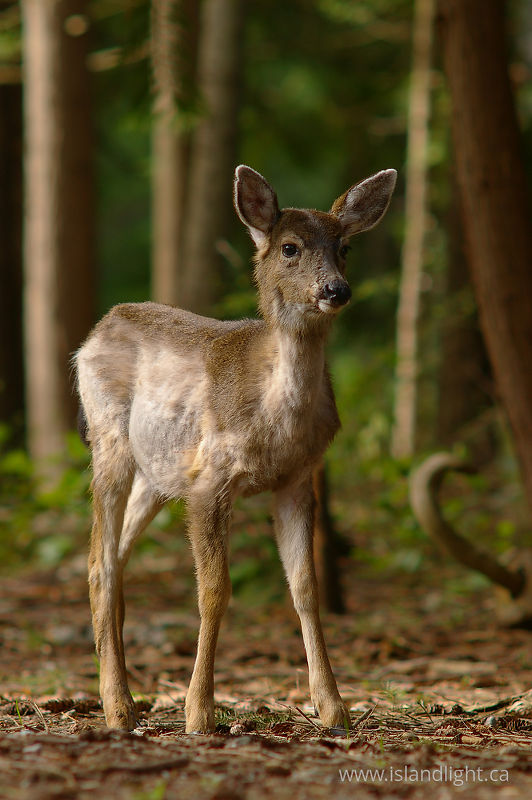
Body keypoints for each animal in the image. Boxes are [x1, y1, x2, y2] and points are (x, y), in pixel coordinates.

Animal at [75, 164, 396, 734]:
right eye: (290, 247)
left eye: (344, 247)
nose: (335, 289)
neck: (275, 419)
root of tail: (97, 330)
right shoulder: (210, 481)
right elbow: (214, 592)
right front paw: (199, 713)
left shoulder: (298, 479)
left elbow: (305, 588)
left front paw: (334, 708)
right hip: (108, 440)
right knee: (98, 562)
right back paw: (117, 707)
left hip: (158, 474)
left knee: (117, 558)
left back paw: (124, 693)